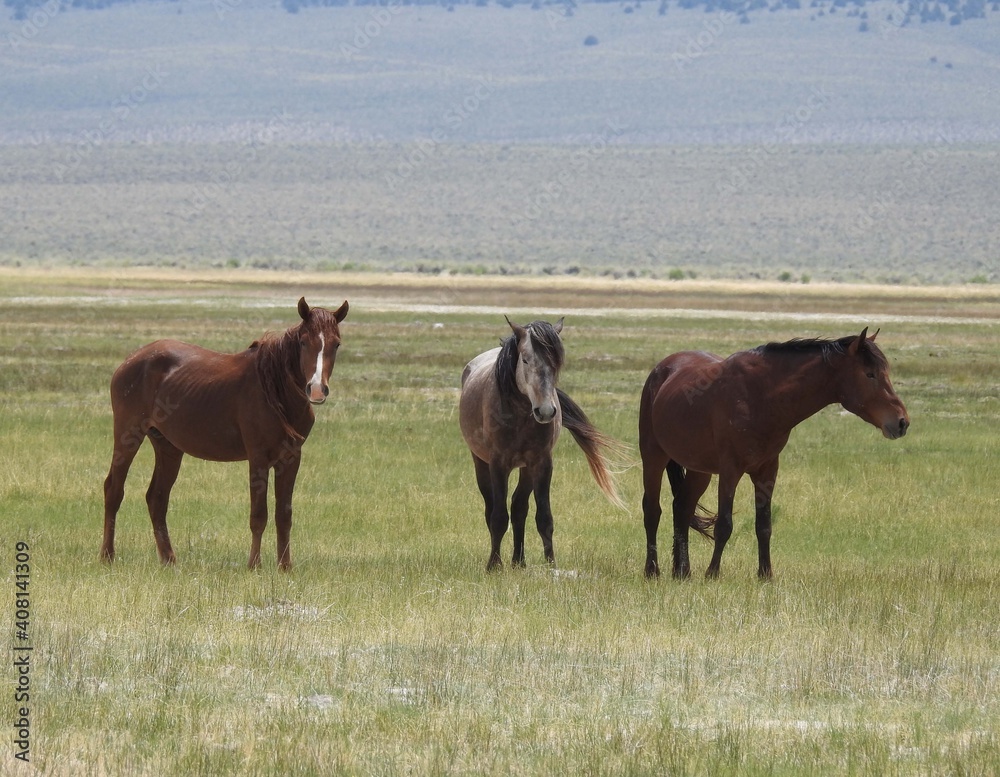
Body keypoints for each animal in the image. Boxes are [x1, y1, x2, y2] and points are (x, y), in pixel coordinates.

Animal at [100, 297, 349, 570]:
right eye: (304, 341)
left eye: (336, 344)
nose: (316, 390)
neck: (275, 391)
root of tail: (130, 360)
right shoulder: (258, 458)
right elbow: (258, 515)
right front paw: (254, 565)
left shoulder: (291, 459)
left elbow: (284, 515)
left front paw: (285, 567)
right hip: (128, 435)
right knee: (114, 489)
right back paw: (107, 556)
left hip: (168, 446)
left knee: (157, 498)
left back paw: (169, 560)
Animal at [459, 317, 624, 571]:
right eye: (526, 359)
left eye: (556, 362)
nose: (546, 411)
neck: (520, 414)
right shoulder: (498, 464)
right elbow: (498, 518)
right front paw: (494, 565)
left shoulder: (542, 463)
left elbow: (544, 517)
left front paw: (551, 564)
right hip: (480, 462)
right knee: (491, 508)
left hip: (527, 469)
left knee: (519, 507)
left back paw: (519, 561)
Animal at [639, 328, 909, 580]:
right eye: (870, 374)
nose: (902, 422)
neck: (761, 396)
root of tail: (662, 369)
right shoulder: (730, 470)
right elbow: (724, 525)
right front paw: (712, 574)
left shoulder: (767, 470)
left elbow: (764, 525)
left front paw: (765, 574)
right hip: (653, 457)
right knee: (652, 510)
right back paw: (652, 570)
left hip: (699, 470)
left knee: (682, 507)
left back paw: (682, 571)